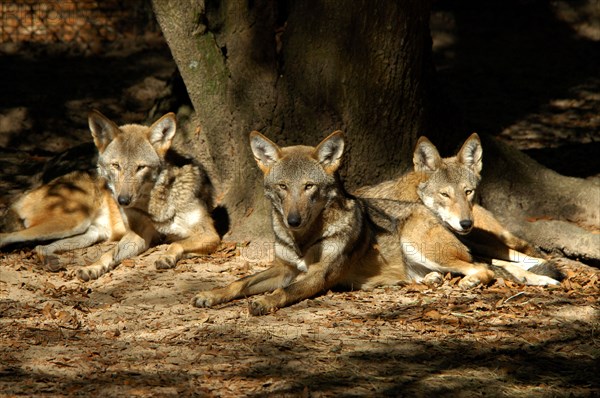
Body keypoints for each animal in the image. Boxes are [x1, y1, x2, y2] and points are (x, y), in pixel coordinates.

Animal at [75, 110, 220, 282]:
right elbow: (108, 254)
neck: (156, 208)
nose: (123, 200)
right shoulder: (138, 235)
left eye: (141, 167)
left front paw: (166, 257)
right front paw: (92, 267)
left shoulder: (209, 234)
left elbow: (176, 244)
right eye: (116, 165)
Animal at [356, 132, 564, 282]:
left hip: (483, 240)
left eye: (468, 192)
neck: (414, 198)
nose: (466, 223)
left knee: (525, 255)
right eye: (445, 194)